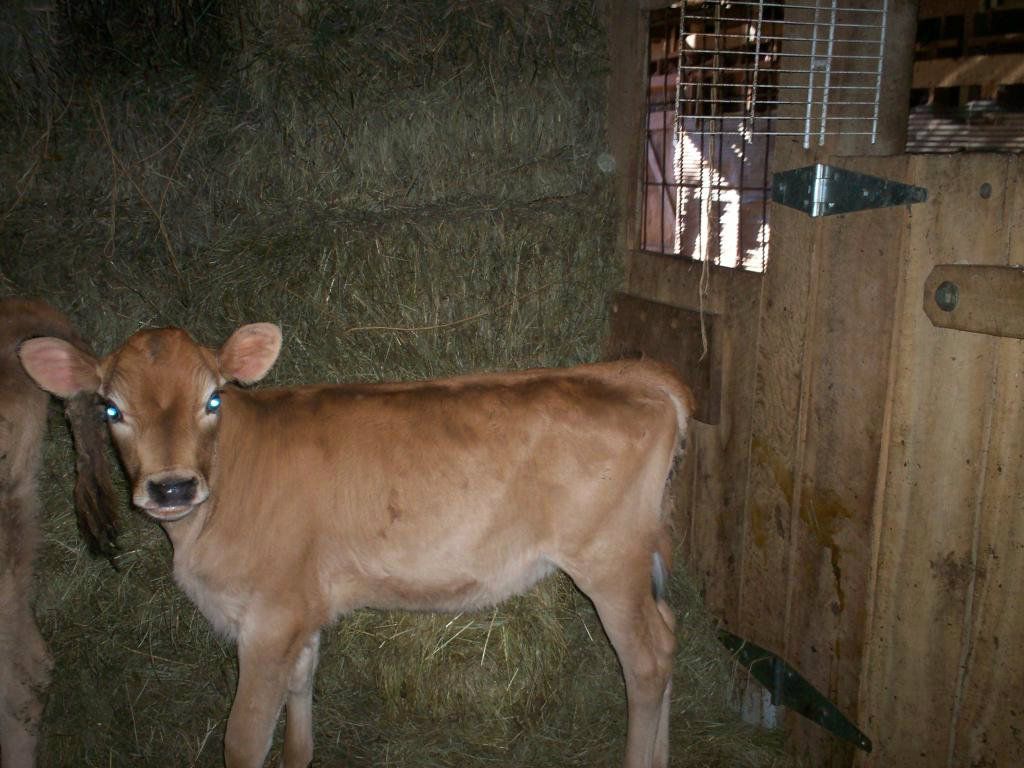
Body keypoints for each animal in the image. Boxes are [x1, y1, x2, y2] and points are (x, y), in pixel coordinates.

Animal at [18, 321, 694, 768]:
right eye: (111, 409)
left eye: (213, 398)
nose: (172, 486)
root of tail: (627, 373)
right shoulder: (299, 610)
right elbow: (300, 704)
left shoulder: (268, 617)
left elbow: (244, 738)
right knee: (669, 636)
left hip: (609, 562)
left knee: (646, 660)